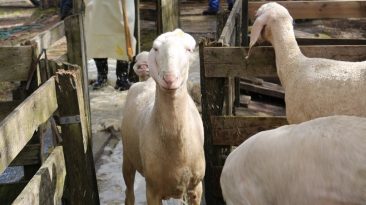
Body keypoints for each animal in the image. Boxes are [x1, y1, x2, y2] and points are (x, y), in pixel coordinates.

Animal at [121, 28, 204, 205]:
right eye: (156, 48)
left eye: (189, 50)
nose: (169, 79)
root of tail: (147, 82)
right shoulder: (152, 190)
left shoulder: (196, 187)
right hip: (127, 157)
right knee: (129, 193)